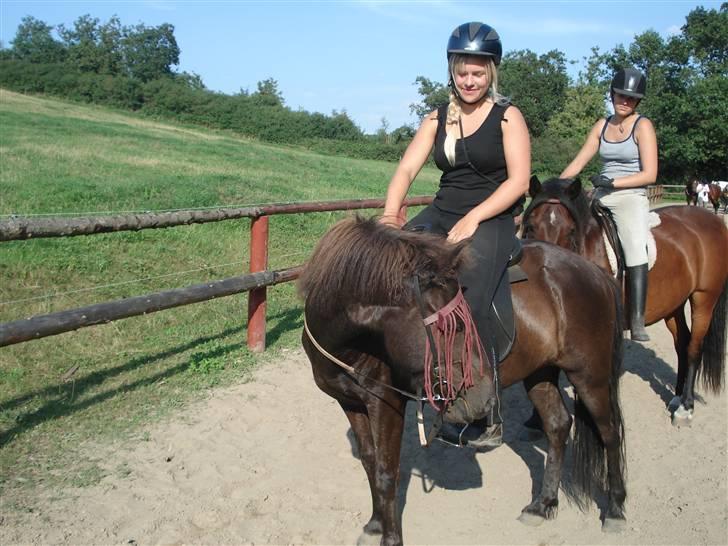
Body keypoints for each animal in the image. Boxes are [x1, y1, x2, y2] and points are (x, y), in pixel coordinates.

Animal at [524, 176, 728, 422]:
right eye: (531, 226)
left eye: (571, 231)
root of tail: (713, 221)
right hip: (674, 305)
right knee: (682, 343)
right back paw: (676, 397)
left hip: (704, 299)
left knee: (694, 349)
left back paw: (685, 406)